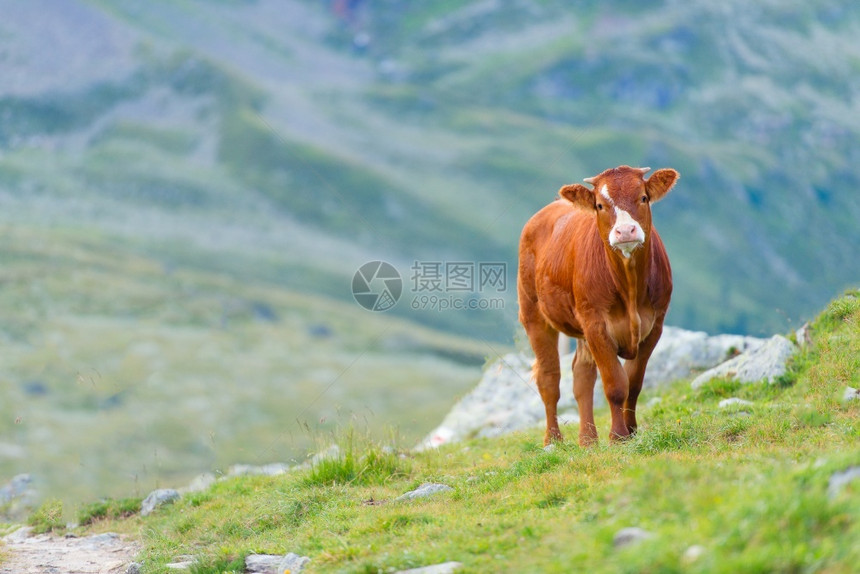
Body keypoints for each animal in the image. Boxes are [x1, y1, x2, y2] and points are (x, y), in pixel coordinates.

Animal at [516, 164, 680, 448]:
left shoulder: (655, 325)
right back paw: (553, 440)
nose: (625, 232)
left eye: (643, 198)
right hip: (534, 314)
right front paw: (618, 436)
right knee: (549, 379)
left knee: (582, 376)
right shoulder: (596, 325)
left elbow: (634, 383)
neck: (630, 288)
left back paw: (588, 439)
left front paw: (632, 430)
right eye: (600, 205)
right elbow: (615, 385)